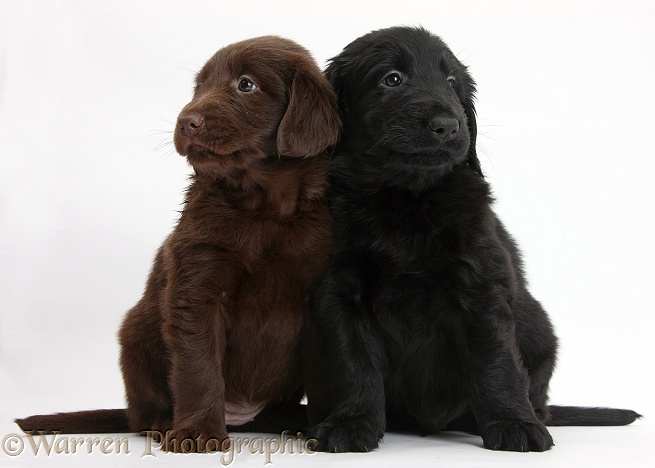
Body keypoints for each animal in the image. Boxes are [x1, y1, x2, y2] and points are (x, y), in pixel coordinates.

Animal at [18, 34, 340, 452]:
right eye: (199, 87)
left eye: (246, 84)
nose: (186, 122)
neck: (264, 207)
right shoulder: (198, 284)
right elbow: (198, 367)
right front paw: (198, 432)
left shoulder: (316, 291)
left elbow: (324, 373)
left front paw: (329, 426)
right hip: (135, 333)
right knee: (140, 413)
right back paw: (162, 423)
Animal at [308, 26, 640, 454]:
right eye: (392, 79)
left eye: (452, 83)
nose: (448, 125)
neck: (405, 201)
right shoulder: (340, 288)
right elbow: (354, 362)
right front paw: (352, 422)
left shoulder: (480, 284)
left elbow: (495, 361)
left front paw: (513, 424)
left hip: (540, 334)